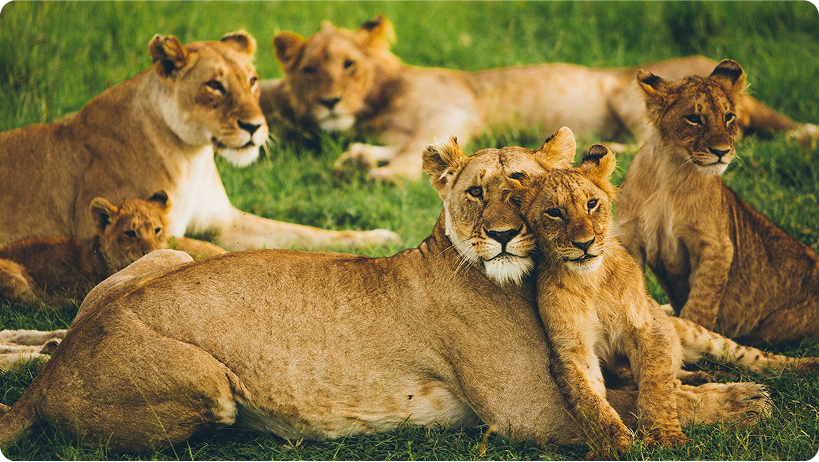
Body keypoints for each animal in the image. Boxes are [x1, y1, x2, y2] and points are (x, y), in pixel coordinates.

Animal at [0, 31, 398, 252]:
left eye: (252, 80)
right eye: (214, 85)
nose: (255, 126)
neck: (192, 157)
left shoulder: (225, 221)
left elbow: (305, 232)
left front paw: (378, 238)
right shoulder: (122, 231)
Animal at [261, 14, 818, 182]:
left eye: (348, 65)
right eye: (309, 70)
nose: (329, 102)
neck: (377, 102)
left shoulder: (452, 110)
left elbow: (411, 156)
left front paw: (377, 174)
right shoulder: (404, 129)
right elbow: (397, 148)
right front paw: (356, 158)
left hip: (627, 92)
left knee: (652, 144)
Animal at [507, 138, 818, 459]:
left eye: (591, 204)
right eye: (554, 212)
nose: (584, 244)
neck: (589, 280)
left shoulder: (647, 328)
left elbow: (655, 386)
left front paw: (664, 437)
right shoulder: (572, 351)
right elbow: (591, 403)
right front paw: (613, 445)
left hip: (695, 332)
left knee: (753, 356)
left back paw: (805, 367)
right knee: (677, 375)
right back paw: (703, 379)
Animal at [614, 59, 819, 345]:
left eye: (728, 116)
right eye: (694, 118)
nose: (722, 151)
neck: (669, 172)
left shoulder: (717, 245)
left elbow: (702, 302)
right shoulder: (630, 237)